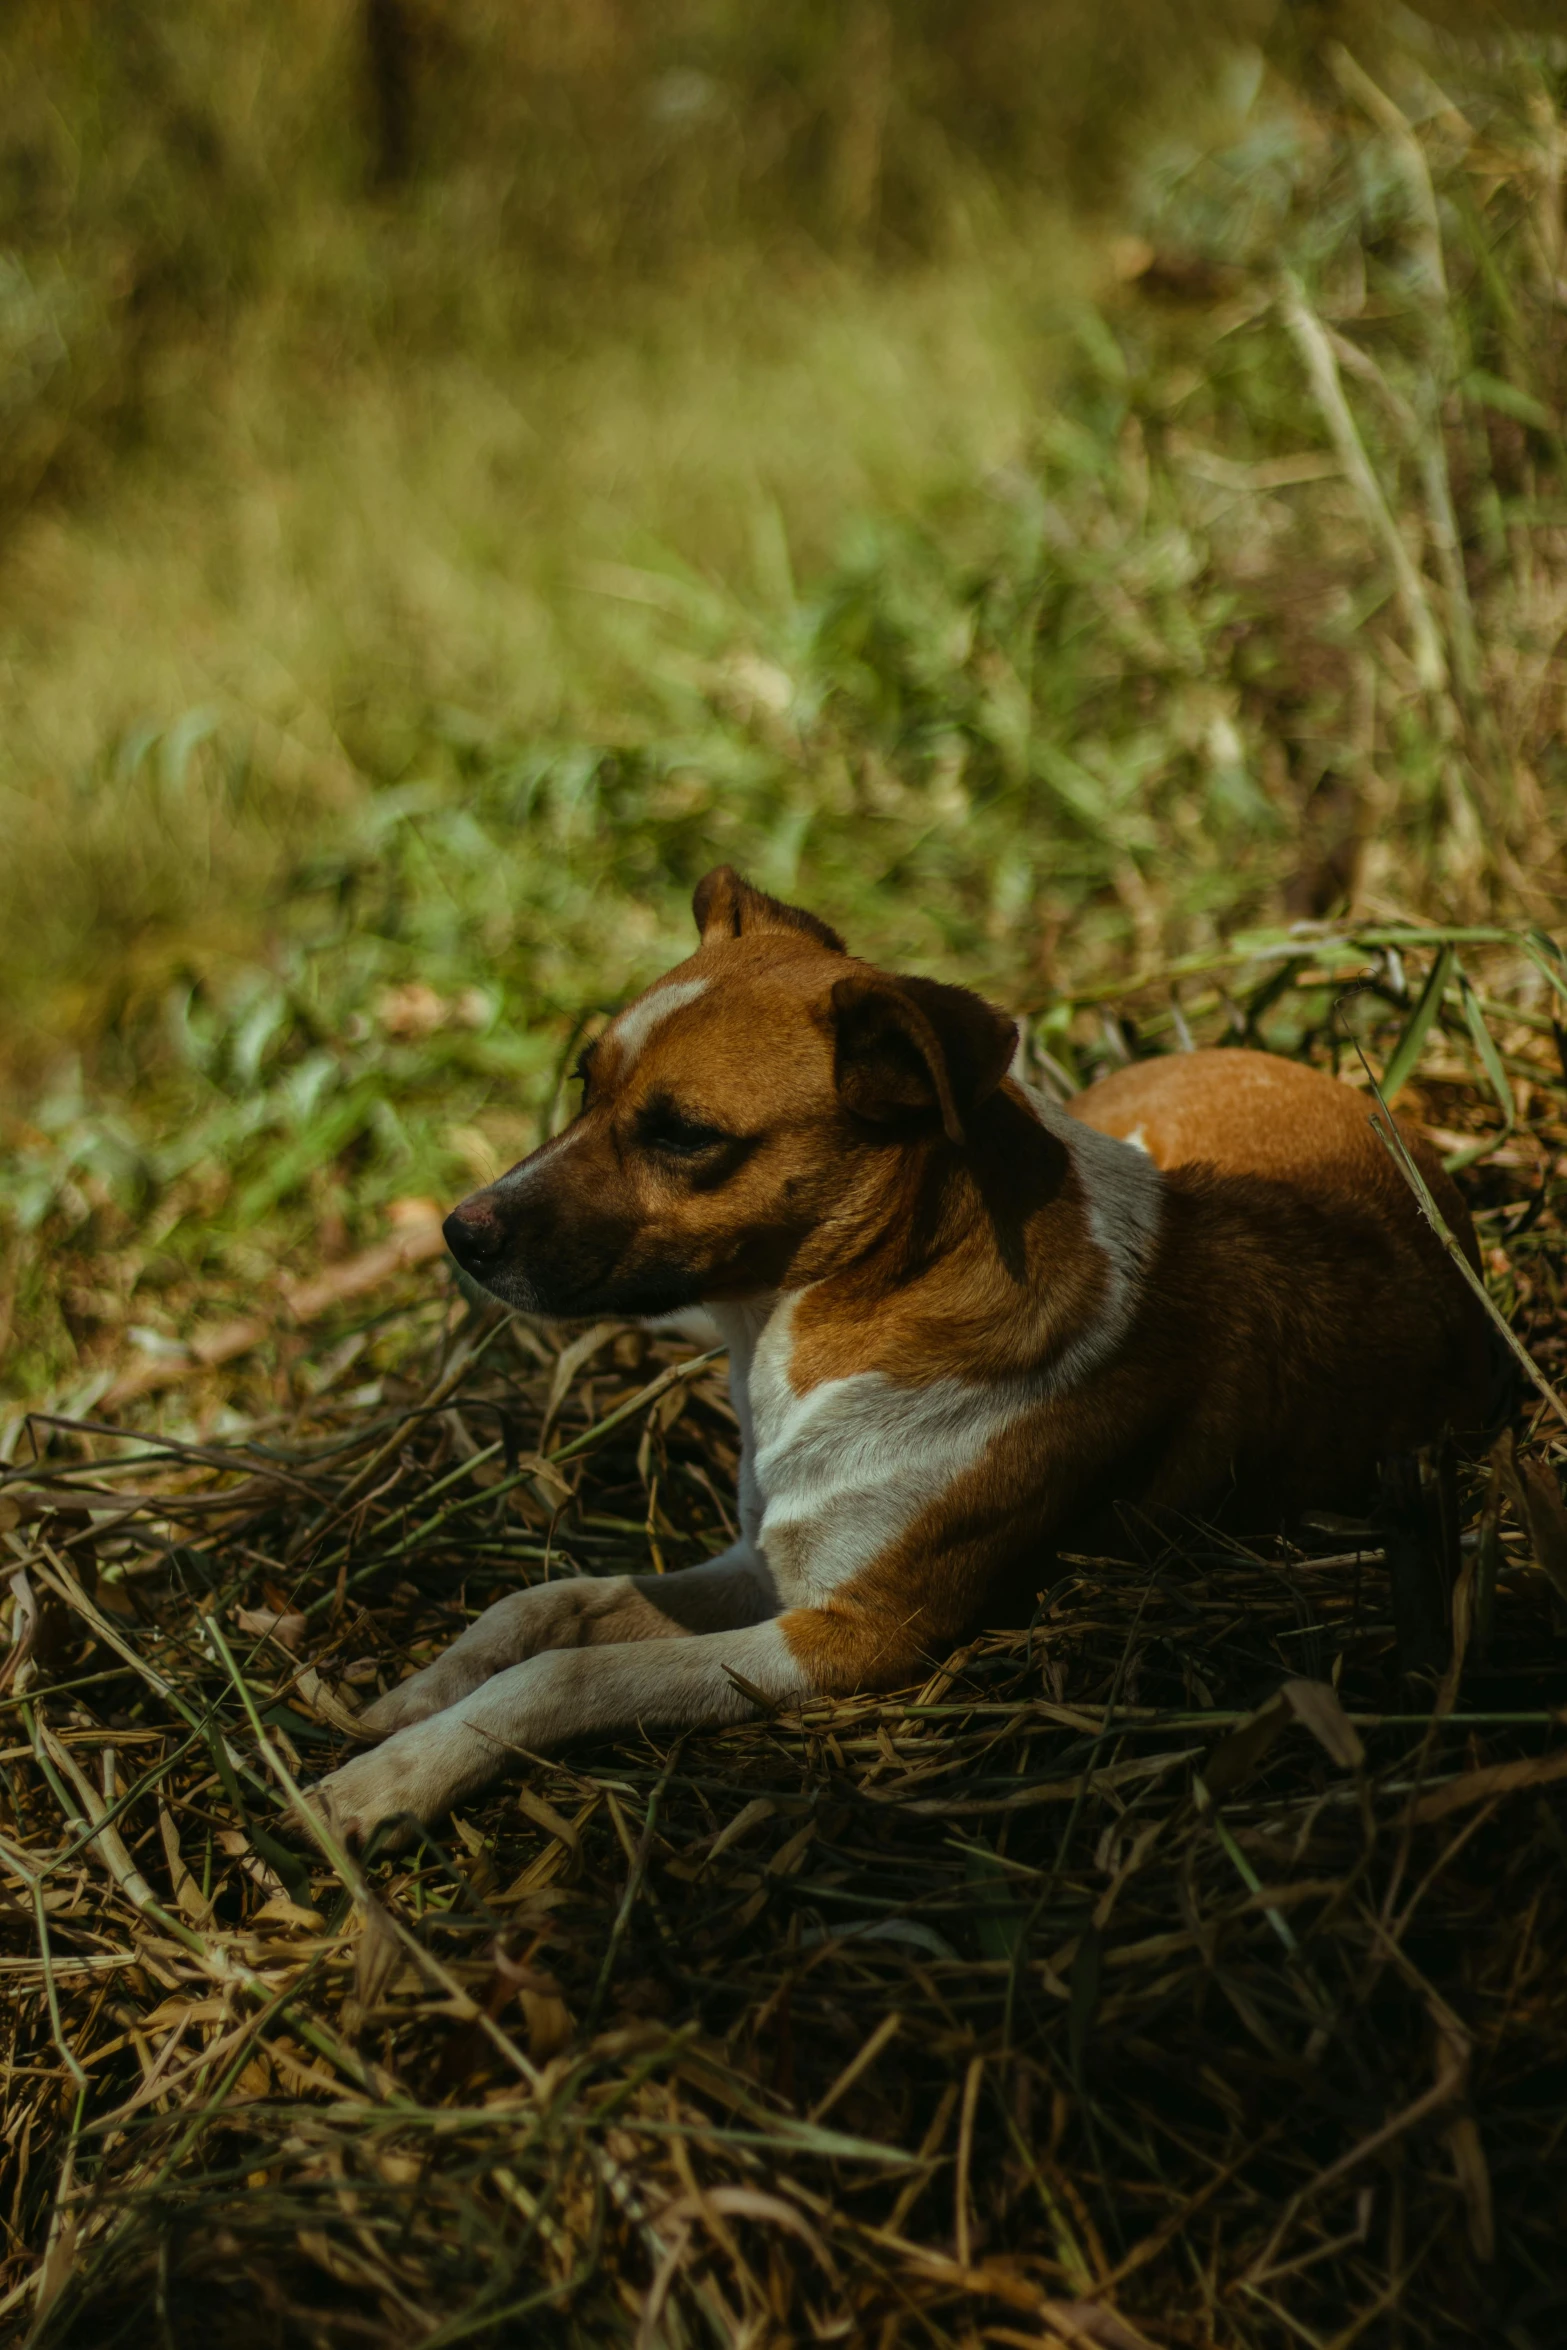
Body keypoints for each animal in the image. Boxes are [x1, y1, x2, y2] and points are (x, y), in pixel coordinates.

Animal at [312, 874, 1494, 1842]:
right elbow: (545, 1604)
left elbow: (563, 1676)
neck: (823, 1324)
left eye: (684, 1135)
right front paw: (413, 1698)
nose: (459, 1234)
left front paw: (394, 1778)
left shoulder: (852, 1633)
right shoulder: (770, 1562)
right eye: (583, 1081)